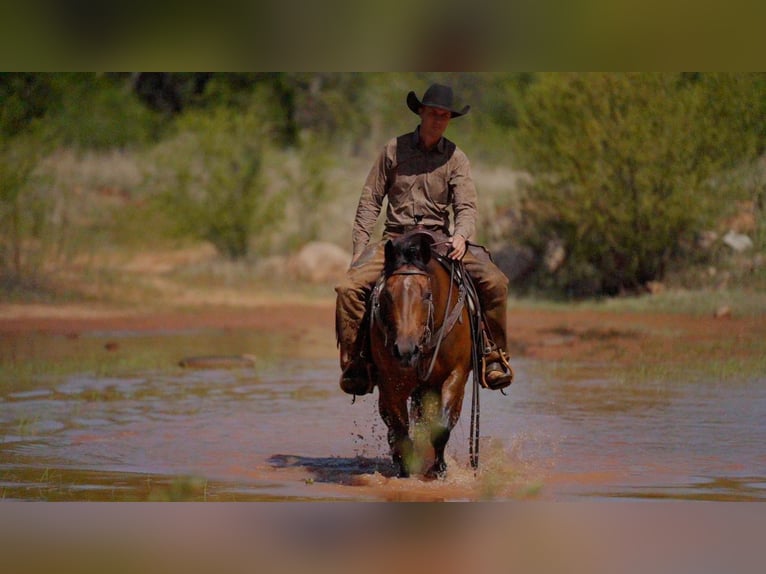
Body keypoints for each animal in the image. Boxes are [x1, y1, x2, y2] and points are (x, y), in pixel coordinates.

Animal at [369, 230, 476, 479]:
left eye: (427, 295)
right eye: (387, 295)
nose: (405, 350)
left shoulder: (456, 375)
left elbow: (441, 428)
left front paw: (439, 469)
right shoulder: (390, 381)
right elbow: (400, 431)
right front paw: (405, 470)